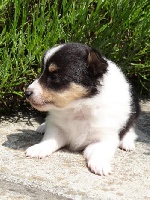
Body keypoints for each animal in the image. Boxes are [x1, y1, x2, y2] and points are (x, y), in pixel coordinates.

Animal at [25, 42, 139, 175]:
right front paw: (38, 148)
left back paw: (127, 142)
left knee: (130, 128)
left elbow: (100, 152)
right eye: (41, 73)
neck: (78, 107)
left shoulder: (104, 138)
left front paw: (100, 164)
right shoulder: (58, 129)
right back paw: (43, 126)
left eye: (53, 77)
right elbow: (49, 139)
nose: (26, 93)